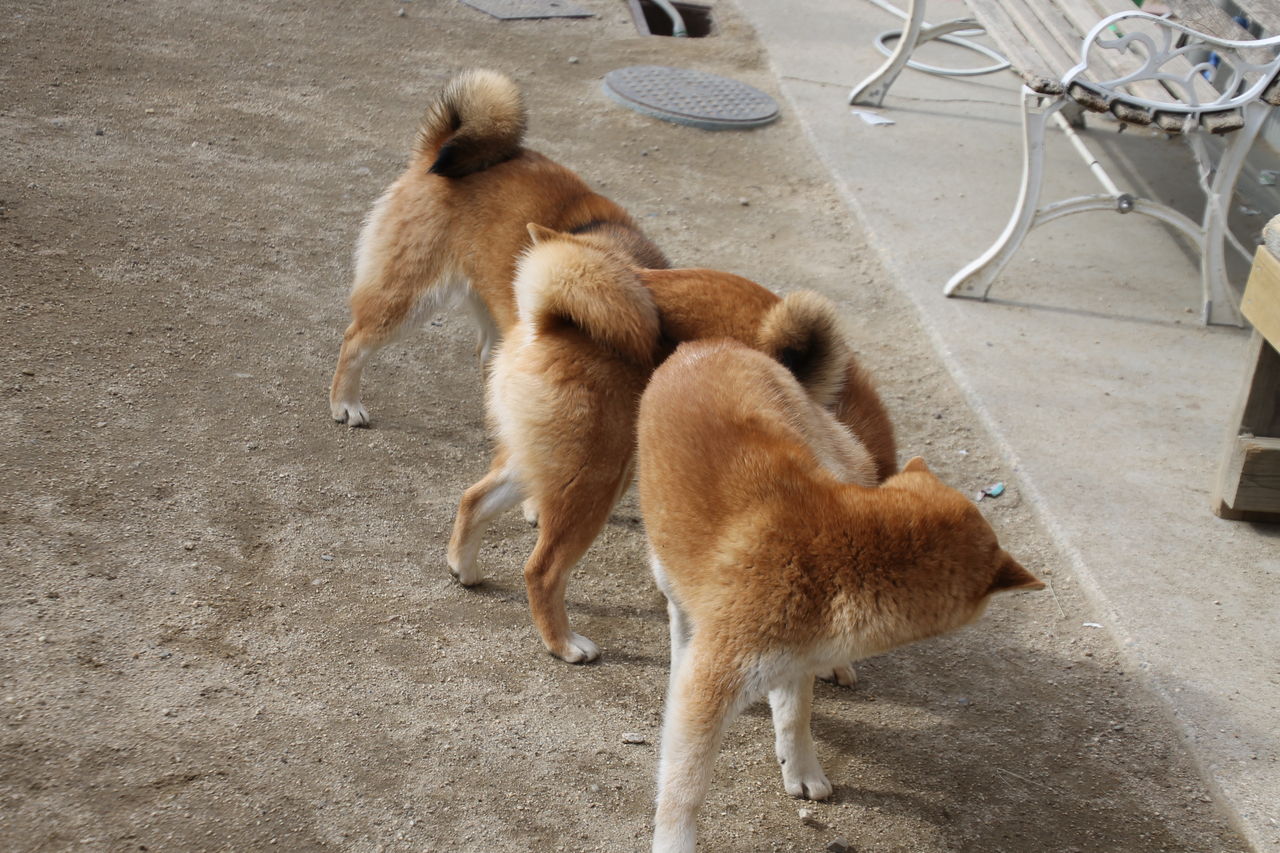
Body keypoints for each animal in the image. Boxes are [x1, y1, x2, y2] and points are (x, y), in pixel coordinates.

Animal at [446, 226, 898, 666]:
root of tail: (549, 320)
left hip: (548, 462)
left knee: (475, 500)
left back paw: (463, 568)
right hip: (593, 480)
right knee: (542, 571)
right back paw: (564, 644)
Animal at [636, 340, 1043, 853]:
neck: (837, 559)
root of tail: (704, 346)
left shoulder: (796, 655)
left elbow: (795, 717)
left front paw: (801, 768)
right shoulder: (715, 683)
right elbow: (684, 787)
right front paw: (674, 840)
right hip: (668, 562)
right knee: (679, 613)